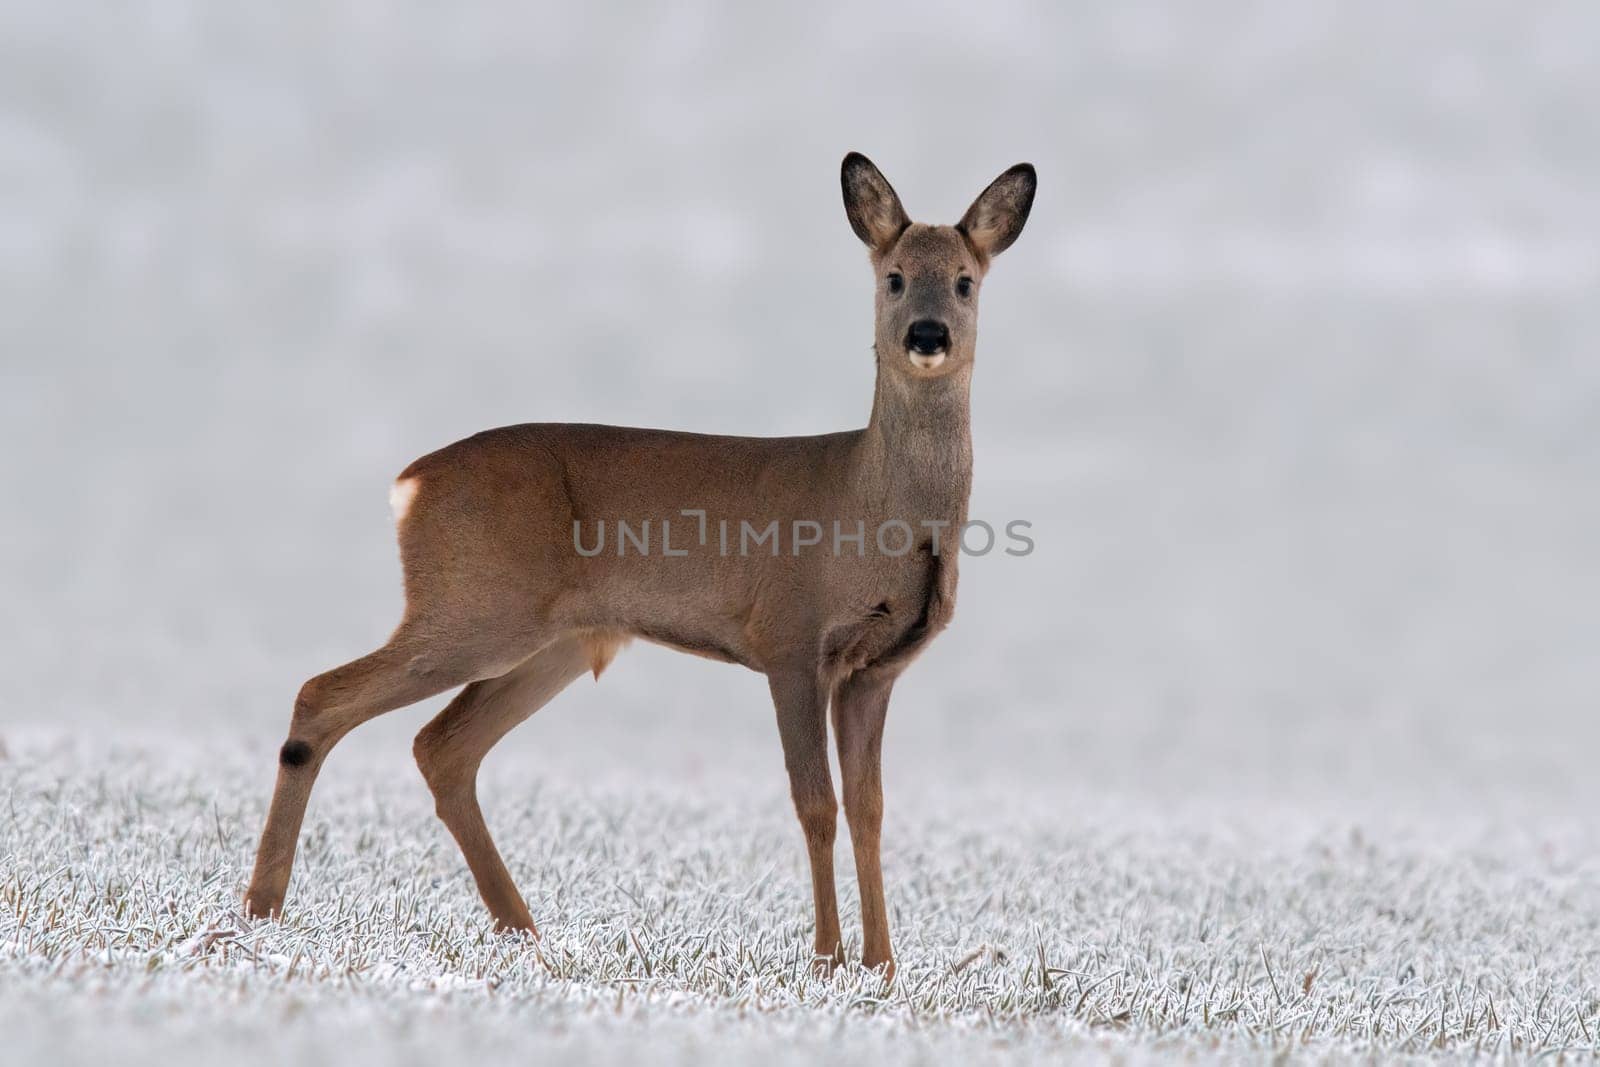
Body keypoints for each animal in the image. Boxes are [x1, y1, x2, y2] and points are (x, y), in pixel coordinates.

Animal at [240, 154, 1036, 979]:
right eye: (894, 277)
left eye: (965, 280)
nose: (927, 334)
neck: (872, 505)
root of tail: (411, 482)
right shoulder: (789, 637)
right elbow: (815, 802)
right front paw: (826, 958)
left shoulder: (876, 670)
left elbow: (870, 807)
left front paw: (880, 963)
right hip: (475, 608)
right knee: (323, 694)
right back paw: (262, 907)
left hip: (551, 643)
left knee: (442, 745)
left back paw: (522, 929)